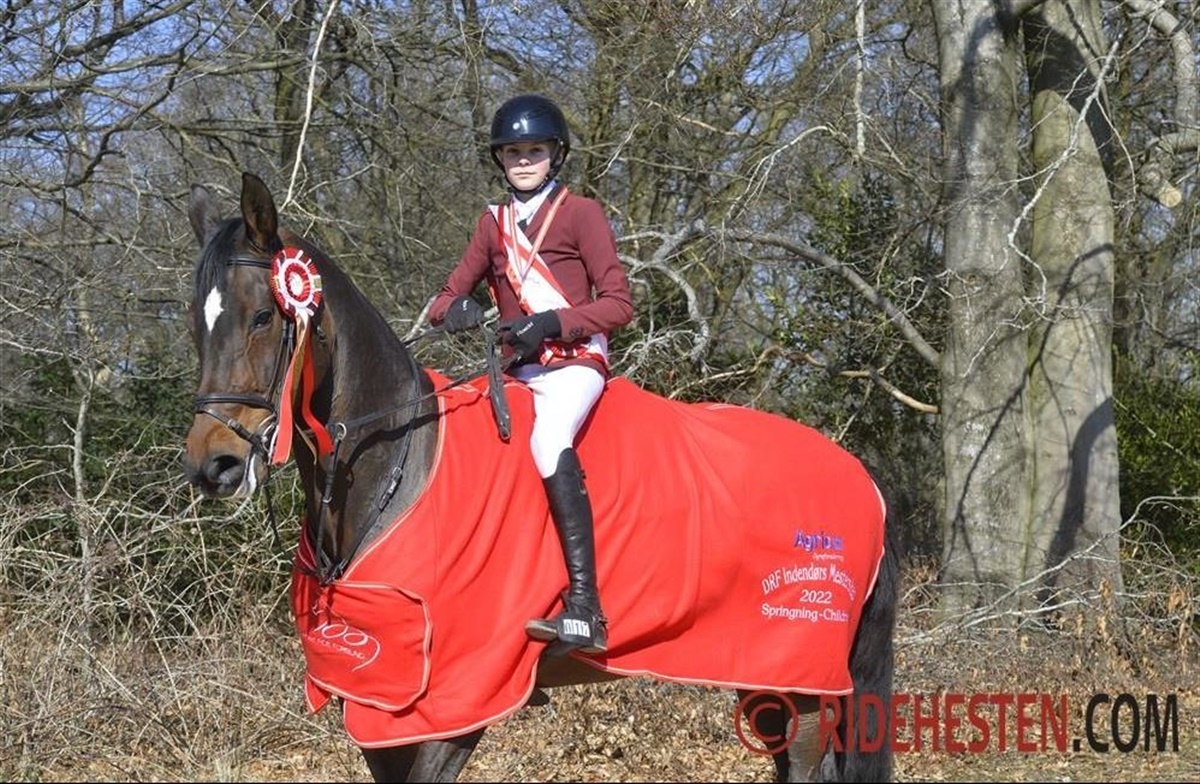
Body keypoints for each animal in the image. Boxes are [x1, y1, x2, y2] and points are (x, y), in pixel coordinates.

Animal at [181, 172, 900, 783]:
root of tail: (862, 479)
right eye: (198, 323)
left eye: (263, 317)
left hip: (804, 683)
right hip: (764, 673)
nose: (212, 465)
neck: (399, 464)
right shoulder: (378, 703)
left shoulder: (454, 704)